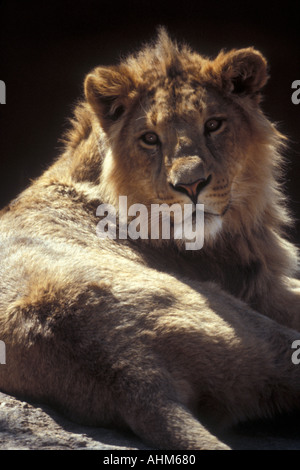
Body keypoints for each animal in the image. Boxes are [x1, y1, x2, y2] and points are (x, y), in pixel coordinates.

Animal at [0, 28, 300, 448]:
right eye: (150, 138)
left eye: (213, 125)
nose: (191, 185)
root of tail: (128, 367)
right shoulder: (260, 288)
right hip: (246, 321)